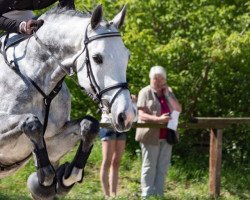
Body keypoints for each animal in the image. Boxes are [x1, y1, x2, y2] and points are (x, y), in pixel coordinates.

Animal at [0, 5, 135, 200]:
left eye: (127, 56)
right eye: (97, 58)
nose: (126, 116)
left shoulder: (52, 142)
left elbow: (90, 125)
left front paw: (67, 177)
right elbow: (32, 123)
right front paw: (45, 179)